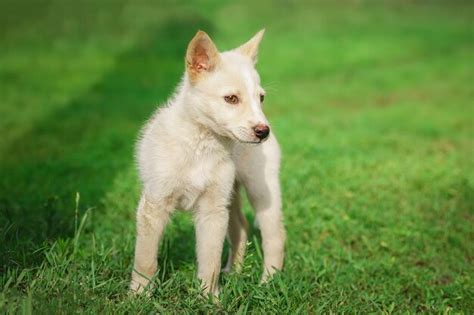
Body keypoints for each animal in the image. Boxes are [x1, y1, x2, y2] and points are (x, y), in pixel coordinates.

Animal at [130, 28, 286, 298]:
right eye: (231, 98)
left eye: (261, 98)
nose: (262, 131)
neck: (200, 146)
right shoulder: (155, 204)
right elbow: (145, 259)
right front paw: (138, 296)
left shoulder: (212, 211)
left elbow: (209, 261)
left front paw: (208, 298)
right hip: (231, 197)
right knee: (241, 228)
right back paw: (233, 272)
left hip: (260, 190)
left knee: (275, 235)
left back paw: (269, 282)